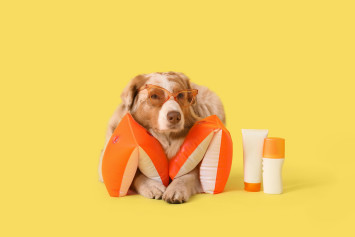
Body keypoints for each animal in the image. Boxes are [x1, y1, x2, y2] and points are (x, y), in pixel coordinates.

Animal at [98, 71, 225, 203]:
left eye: (180, 95)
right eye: (154, 96)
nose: (175, 116)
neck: (166, 138)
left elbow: (187, 175)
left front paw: (176, 189)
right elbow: (135, 175)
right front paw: (152, 186)